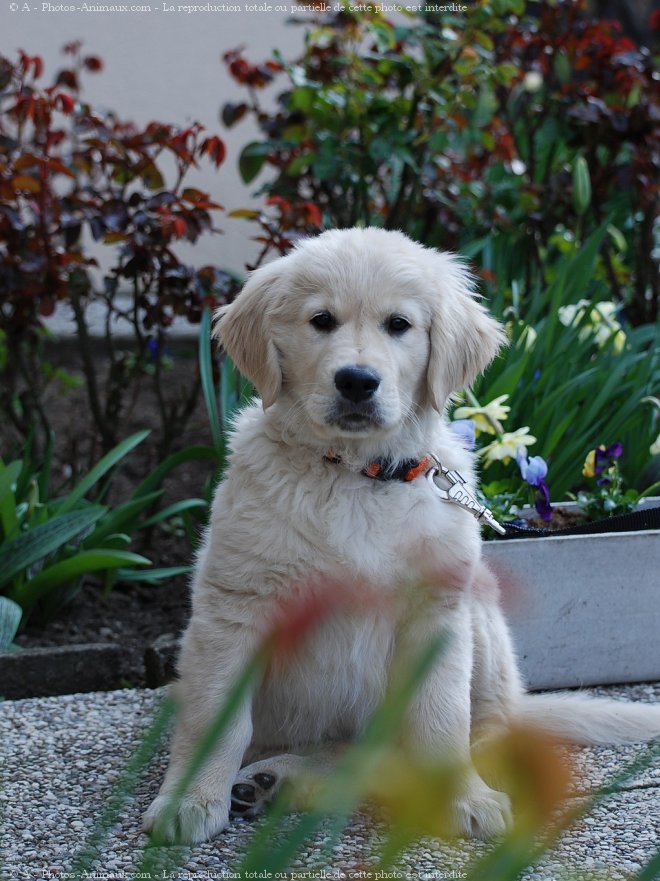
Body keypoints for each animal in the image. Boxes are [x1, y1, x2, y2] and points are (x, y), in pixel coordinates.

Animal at [143, 229, 660, 844]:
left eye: (398, 325)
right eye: (321, 321)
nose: (356, 381)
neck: (355, 473)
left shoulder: (436, 612)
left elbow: (440, 720)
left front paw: (462, 797)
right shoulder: (235, 606)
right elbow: (214, 718)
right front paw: (189, 800)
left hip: (480, 616)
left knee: (453, 739)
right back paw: (270, 780)